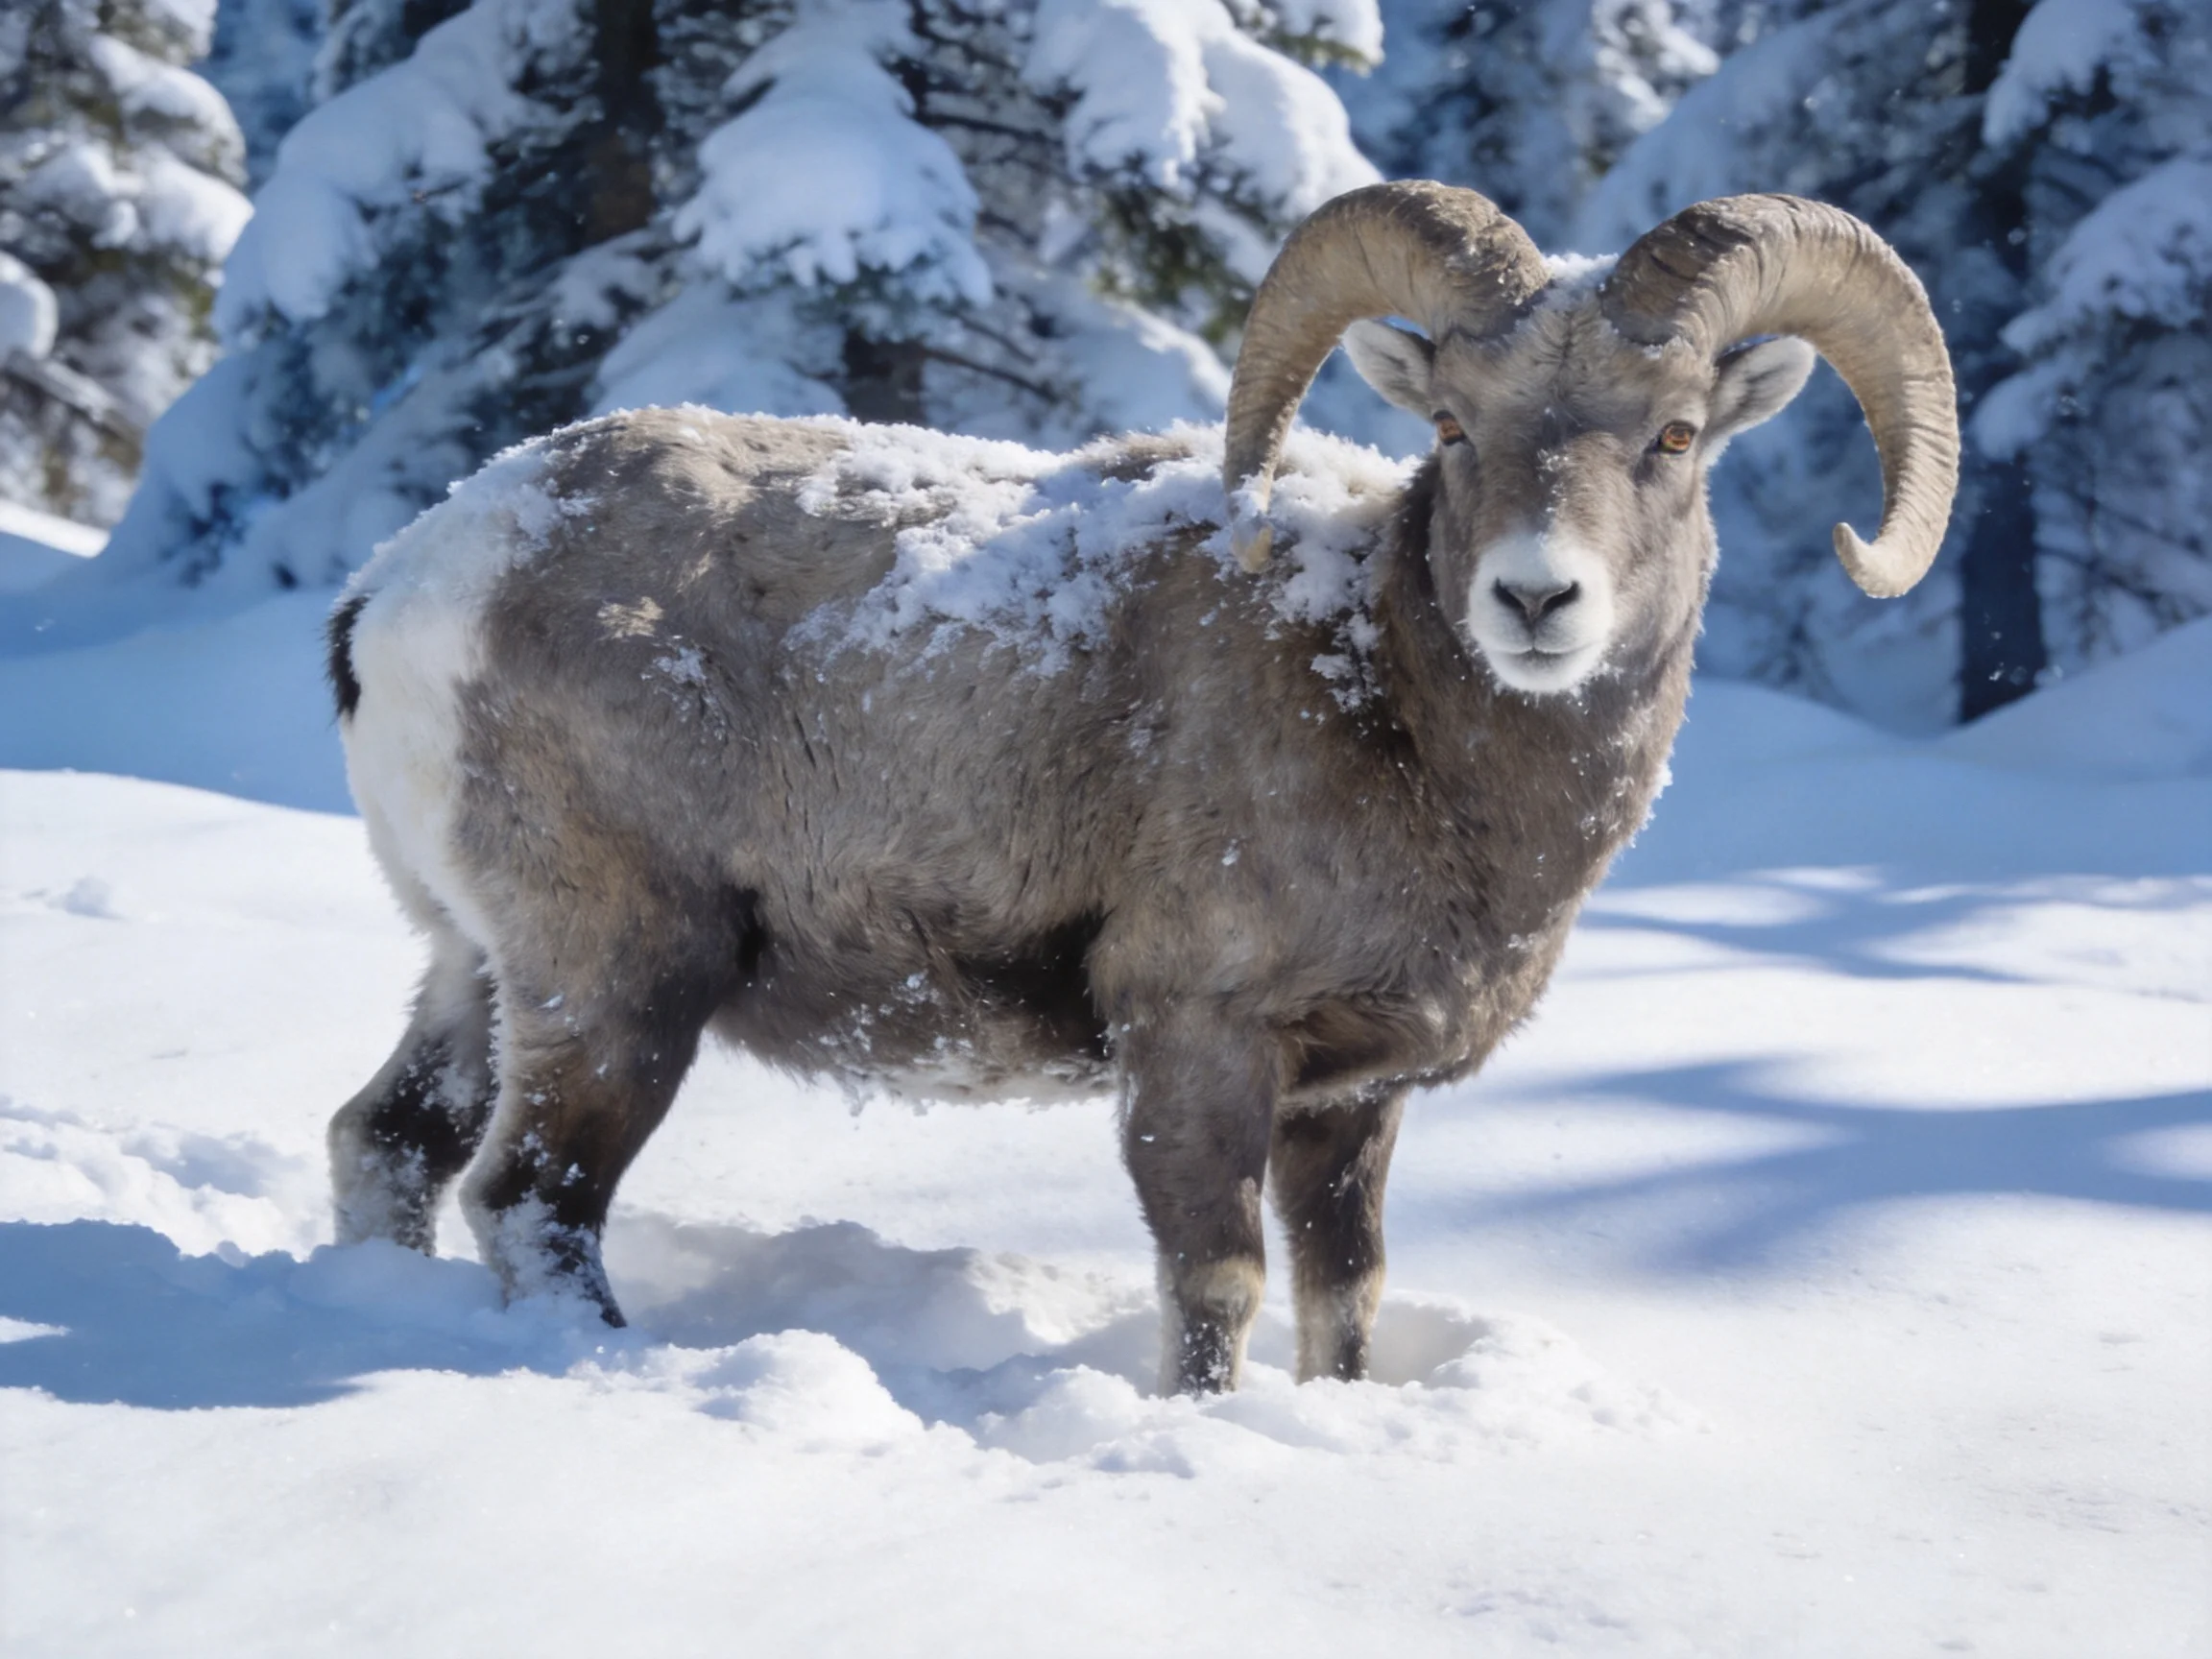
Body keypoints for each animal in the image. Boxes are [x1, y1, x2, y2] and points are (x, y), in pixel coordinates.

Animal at [325, 182, 1958, 1394]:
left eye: (1673, 435)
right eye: (1454, 426)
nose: (1537, 600)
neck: (1384, 706)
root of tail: (411, 580)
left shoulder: (1349, 1104)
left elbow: (1345, 1299)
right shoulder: (1197, 1044)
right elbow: (1217, 1287)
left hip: (475, 970)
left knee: (389, 1144)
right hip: (619, 982)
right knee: (532, 1200)